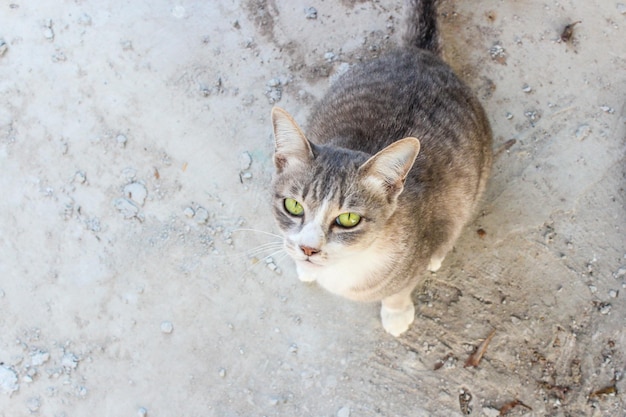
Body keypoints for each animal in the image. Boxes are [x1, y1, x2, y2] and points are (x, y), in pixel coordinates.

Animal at [268, 0, 492, 334]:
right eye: (293, 206)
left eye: (348, 219)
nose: (308, 250)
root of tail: (419, 53)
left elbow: (399, 290)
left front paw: (396, 312)